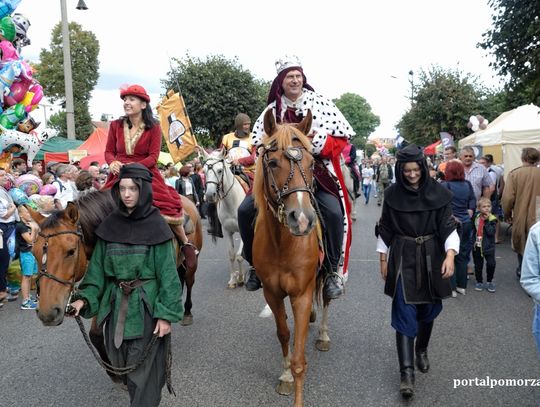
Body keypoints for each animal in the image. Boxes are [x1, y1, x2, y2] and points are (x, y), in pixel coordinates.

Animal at [30, 192, 202, 382]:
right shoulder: (105, 286)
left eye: (71, 251)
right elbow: (96, 333)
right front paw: (115, 374)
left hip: (191, 265)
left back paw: (186, 313)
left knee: (189, 282)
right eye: (33, 252)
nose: (47, 314)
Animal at [202, 151, 247, 290]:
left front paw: (241, 278)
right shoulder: (228, 232)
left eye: (220, 170)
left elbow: (239, 256)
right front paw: (233, 280)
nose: (210, 195)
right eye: (204, 171)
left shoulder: (242, 230)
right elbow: (231, 255)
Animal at [253, 110, 334, 406]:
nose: (302, 219)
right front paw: (285, 375)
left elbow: (300, 360)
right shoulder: (272, 293)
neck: (283, 245)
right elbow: (284, 333)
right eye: (273, 162)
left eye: (312, 164)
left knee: (327, 299)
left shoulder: (301, 293)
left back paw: (322, 334)